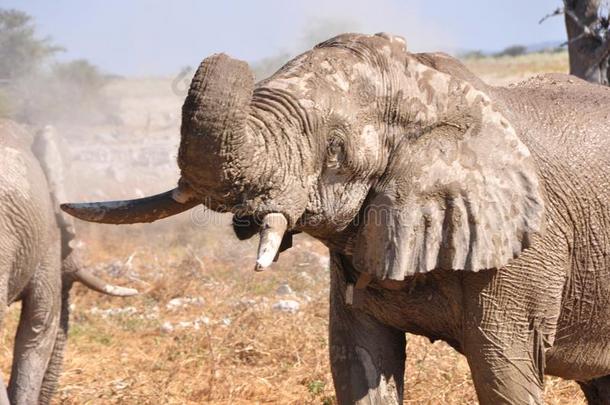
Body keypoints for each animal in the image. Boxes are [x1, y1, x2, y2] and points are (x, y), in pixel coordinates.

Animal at [60, 33, 608, 402]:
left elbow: (504, 369)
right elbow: (358, 360)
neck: (431, 90)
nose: (230, 55)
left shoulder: (524, 249)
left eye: (337, 152)